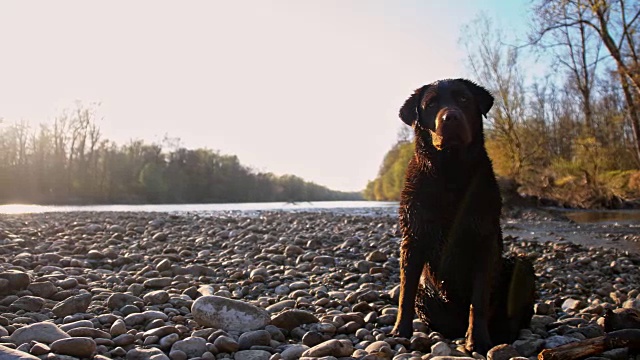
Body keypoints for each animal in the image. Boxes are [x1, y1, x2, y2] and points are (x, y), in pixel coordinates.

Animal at [390, 79, 536, 354]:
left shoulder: (483, 238)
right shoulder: (413, 238)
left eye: (464, 99)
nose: (451, 117)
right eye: (431, 104)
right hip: (427, 293)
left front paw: (477, 340)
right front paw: (400, 332)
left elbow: (478, 299)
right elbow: (405, 292)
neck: (450, 172)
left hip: (521, 264)